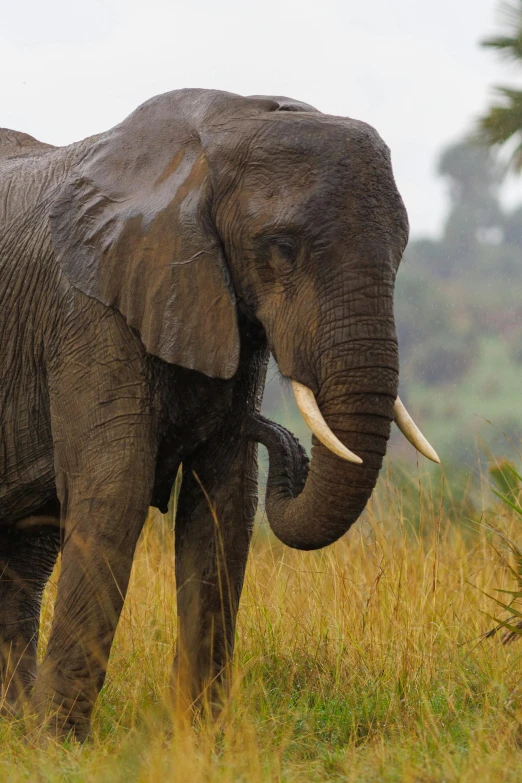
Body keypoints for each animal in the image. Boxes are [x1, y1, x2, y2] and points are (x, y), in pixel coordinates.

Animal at [0, 89, 434, 740]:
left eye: (404, 250)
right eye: (282, 248)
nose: (264, 425)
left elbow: (223, 504)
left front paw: (200, 738)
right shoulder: (88, 313)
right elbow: (115, 493)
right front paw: (60, 744)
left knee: (28, 553)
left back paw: (15, 726)